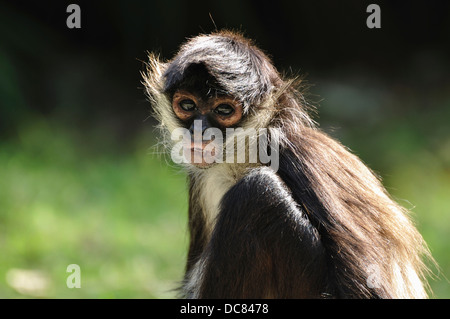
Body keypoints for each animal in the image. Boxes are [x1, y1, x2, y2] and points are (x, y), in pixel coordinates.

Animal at [142, 30, 434, 300]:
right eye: (187, 105)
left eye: (224, 110)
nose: (199, 132)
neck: (245, 159)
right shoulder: (203, 178)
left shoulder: (298, 155)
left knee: (258, 191)